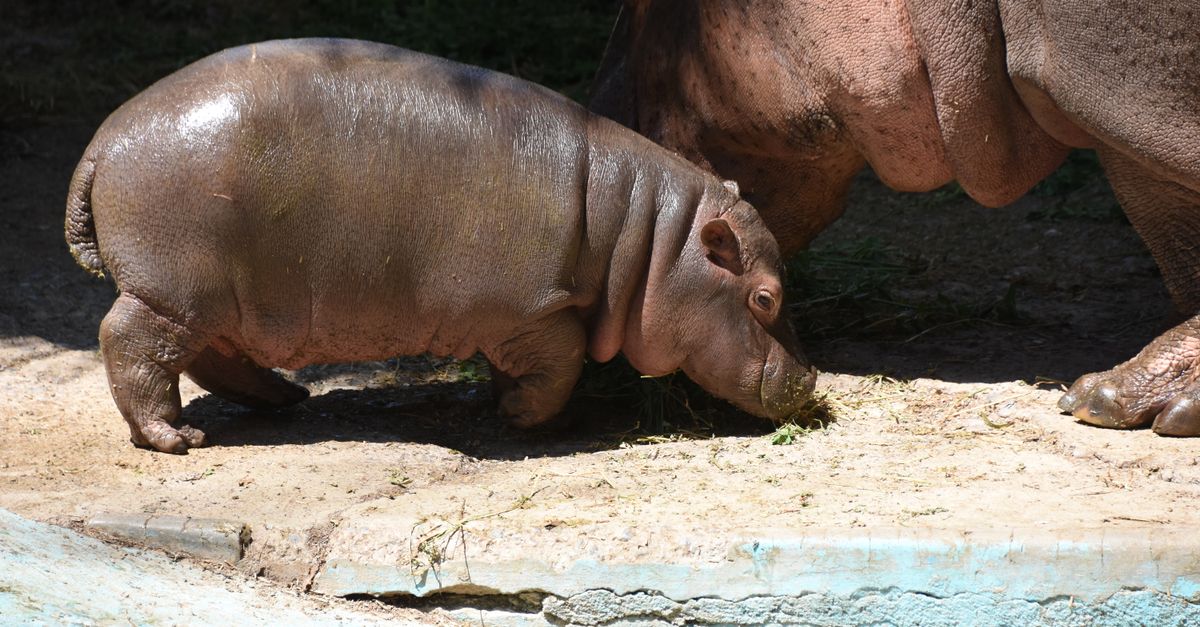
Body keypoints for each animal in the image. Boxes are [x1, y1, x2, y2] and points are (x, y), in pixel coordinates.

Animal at [65, 38, 815, 454]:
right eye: (765, 296)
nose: (811, 380)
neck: (649, 237)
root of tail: (100, 143)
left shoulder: (520, 319)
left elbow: (531, 365)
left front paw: (501, 403)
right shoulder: (532, 308)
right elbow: (561, 362)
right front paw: (518, 416)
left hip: (223, 299)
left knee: (213, 357)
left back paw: (287, 399)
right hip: (172, 291)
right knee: (130, 342)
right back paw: (176, 440)